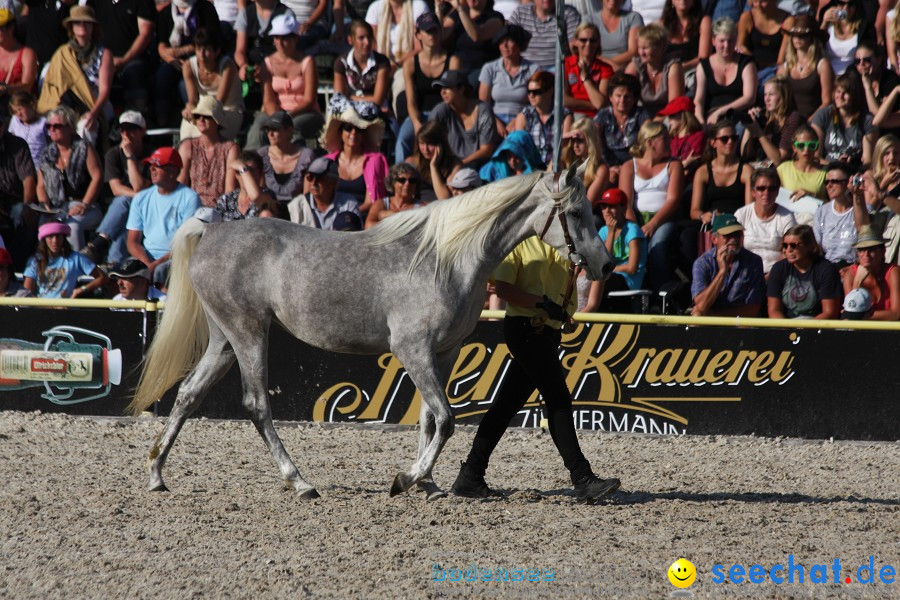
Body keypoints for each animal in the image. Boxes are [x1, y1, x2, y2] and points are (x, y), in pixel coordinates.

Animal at [130, 168, 616, 496]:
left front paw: (429, 483)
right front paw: (407, 478)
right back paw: (300, 482)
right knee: (256, 405)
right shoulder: (411, 349)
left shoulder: (443, 352)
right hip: (249, 332)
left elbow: (429, 418)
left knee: (189, 394)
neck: (445, 259)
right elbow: (445, 418)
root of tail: (211, 232)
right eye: (576, 211)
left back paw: (156, 475)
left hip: (225, 340)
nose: (606, 264)